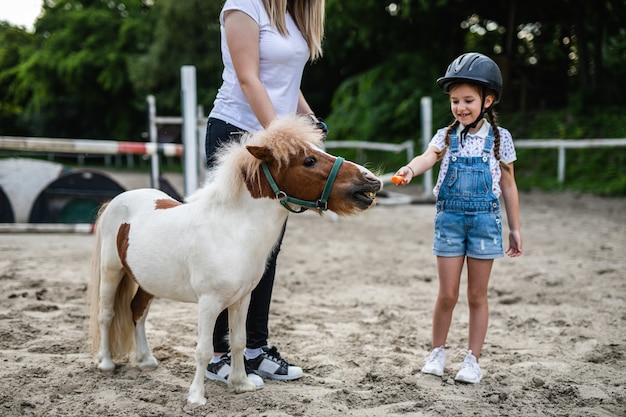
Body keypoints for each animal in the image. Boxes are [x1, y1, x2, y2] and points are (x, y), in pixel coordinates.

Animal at [86, 114, 380, 404]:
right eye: (309, 160)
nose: (371, 180)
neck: (232, 230)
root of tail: (118, 200)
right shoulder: (208, 303)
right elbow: (204, 350)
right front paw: (196, 397)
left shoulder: (242, 298)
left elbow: (238, 340)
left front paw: (241, 384)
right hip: (112, 272)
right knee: (106, 314)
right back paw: (106, 364)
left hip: (147, 282)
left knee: (137, 312)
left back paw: (146, 360)